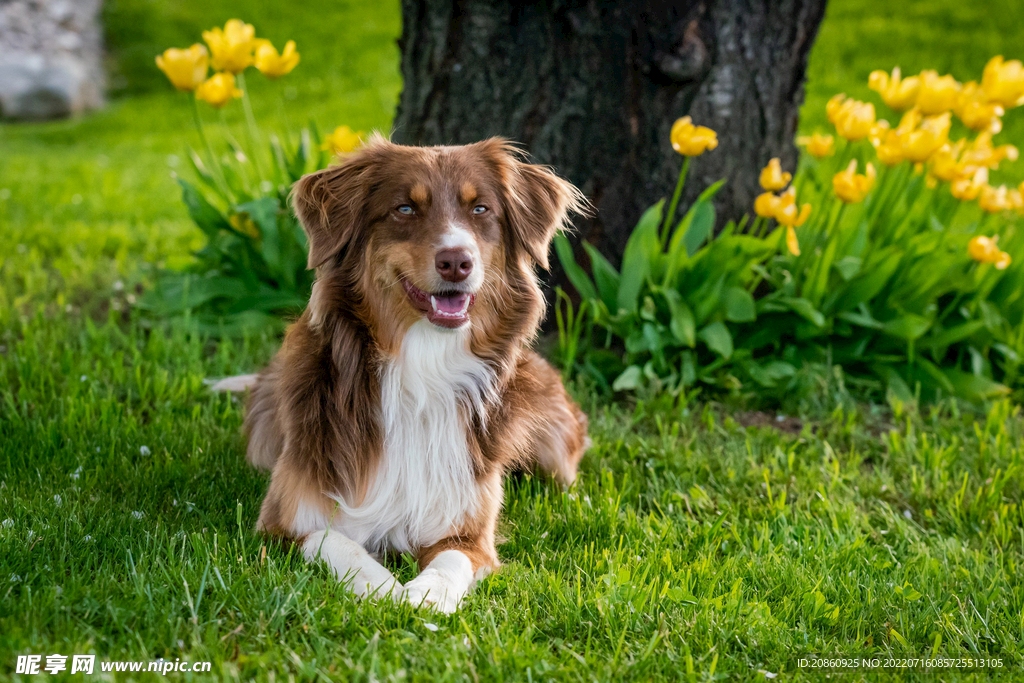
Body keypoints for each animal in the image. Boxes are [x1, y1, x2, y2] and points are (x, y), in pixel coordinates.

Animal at [218, 135, 593, 614]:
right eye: (405, 208)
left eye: (481, 209)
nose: (457, 261)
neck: (422, 368)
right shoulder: (283, 522)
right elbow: (334, 542)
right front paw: (384, 589)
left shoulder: (470, 531)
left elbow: (452, 559)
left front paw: (426, 595)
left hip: (552, 444)